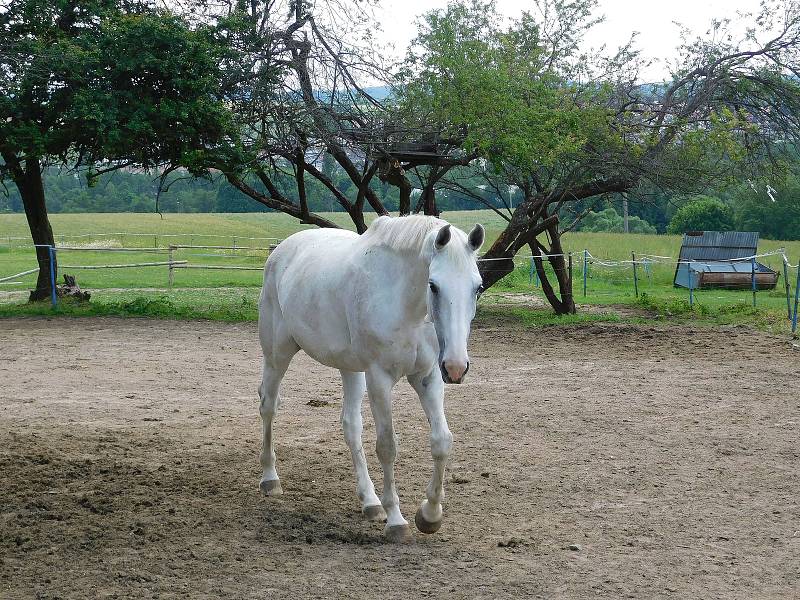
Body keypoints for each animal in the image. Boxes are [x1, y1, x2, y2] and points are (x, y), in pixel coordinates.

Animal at [258, 214, 482, 540]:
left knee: (351, 426)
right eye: (434, 285)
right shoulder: (380, 378)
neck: (405, 305)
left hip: (351, 369)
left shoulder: (427, 376)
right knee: (268, 406)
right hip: (278, 353)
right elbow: (387, 446)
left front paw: (430, 515)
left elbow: (442, 441)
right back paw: (270, 479)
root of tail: (281, 251)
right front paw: (397, 521)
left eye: (478, 287)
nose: (455, 367)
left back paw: (370, 501)